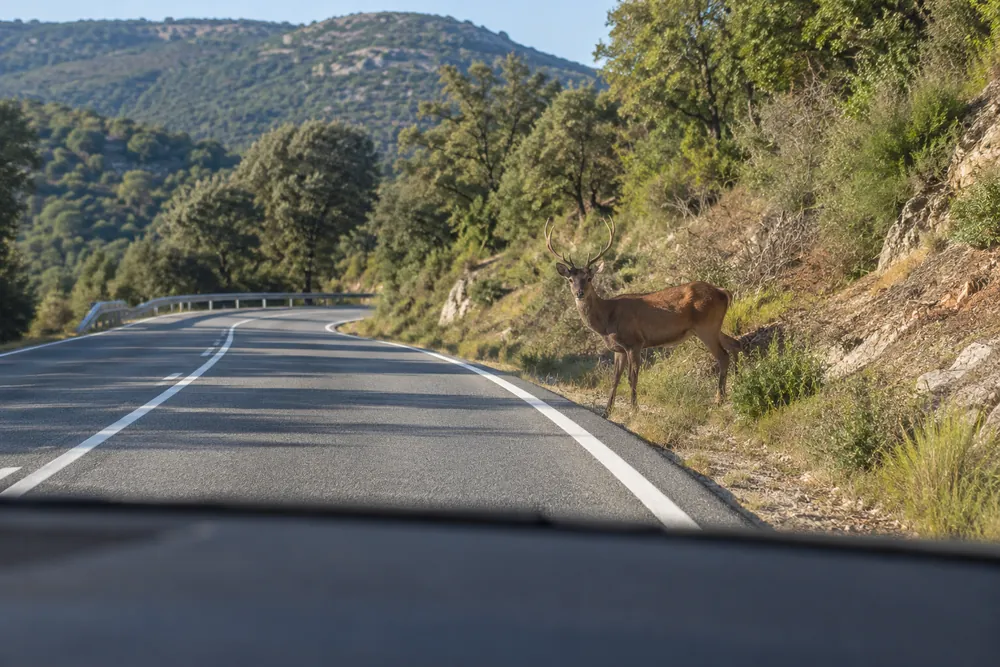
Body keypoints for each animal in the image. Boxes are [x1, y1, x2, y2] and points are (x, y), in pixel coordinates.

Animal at [545, 217, 742, 417]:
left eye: (589, 278)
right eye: (570, 280)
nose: (579, 293)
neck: (607, 320)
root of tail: (723, 292)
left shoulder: (635, 342)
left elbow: (632, 377)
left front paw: (634, 409)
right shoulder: (619, 349)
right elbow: (615, 379)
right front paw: (606, 412)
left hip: (706, 326)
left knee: (723, 355)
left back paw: (719, 399)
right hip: (713, 326)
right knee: (735, 344)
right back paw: (737, 384)